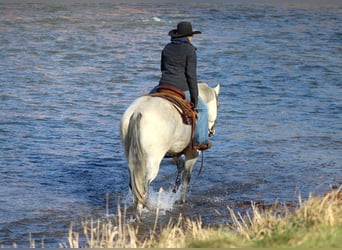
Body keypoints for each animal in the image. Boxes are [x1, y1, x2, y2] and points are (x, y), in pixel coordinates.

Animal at [120, 83, 220, 214]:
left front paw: (175, 190)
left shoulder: (175, 150)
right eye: (218, 105)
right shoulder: (192, 153)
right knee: (143, 185)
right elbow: (187, 176)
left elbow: (180, 166)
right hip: (152, 162)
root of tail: (138, 112)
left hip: (131, 156)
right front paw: (181, 200)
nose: (212, 131)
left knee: (134, 183)